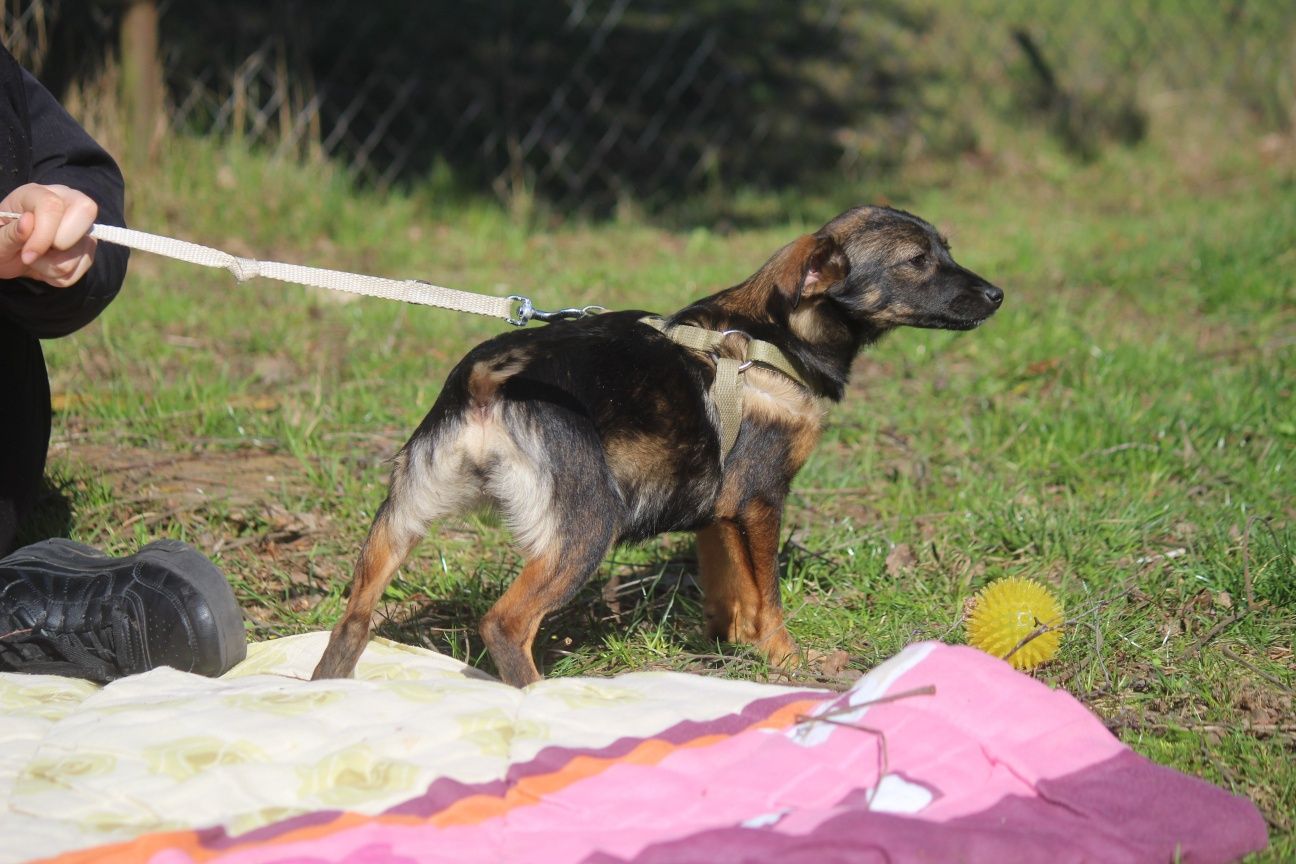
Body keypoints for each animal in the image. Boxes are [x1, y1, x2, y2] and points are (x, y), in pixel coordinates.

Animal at [313, 205, 1000, 683]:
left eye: (946, 248)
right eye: (917, 261)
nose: (997, 294)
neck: (775, 338)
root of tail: (486, 383)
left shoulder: (719, 514)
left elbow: (730, 593)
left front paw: (727, 646)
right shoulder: (761, 501)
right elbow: (769, 598)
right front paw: (787, 661)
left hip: (399, 519)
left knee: (352, 620)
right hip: (589, 525)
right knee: (505, 624)